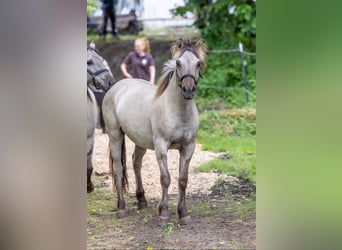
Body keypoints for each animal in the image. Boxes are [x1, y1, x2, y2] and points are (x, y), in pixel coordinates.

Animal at [103, 38, 207, 228]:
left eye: (198, 63)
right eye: (178, 63)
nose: (188, 90)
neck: (178, 111)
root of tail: (116, 87)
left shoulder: (188, 147)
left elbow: (183, 180)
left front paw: (183, 214)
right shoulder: (161, 146)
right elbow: (165, 178)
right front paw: (163, 215)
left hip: (140, 141)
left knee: (136, 163)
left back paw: (141, 201)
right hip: (115, 135)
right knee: (119, 168)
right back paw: (121, 208)